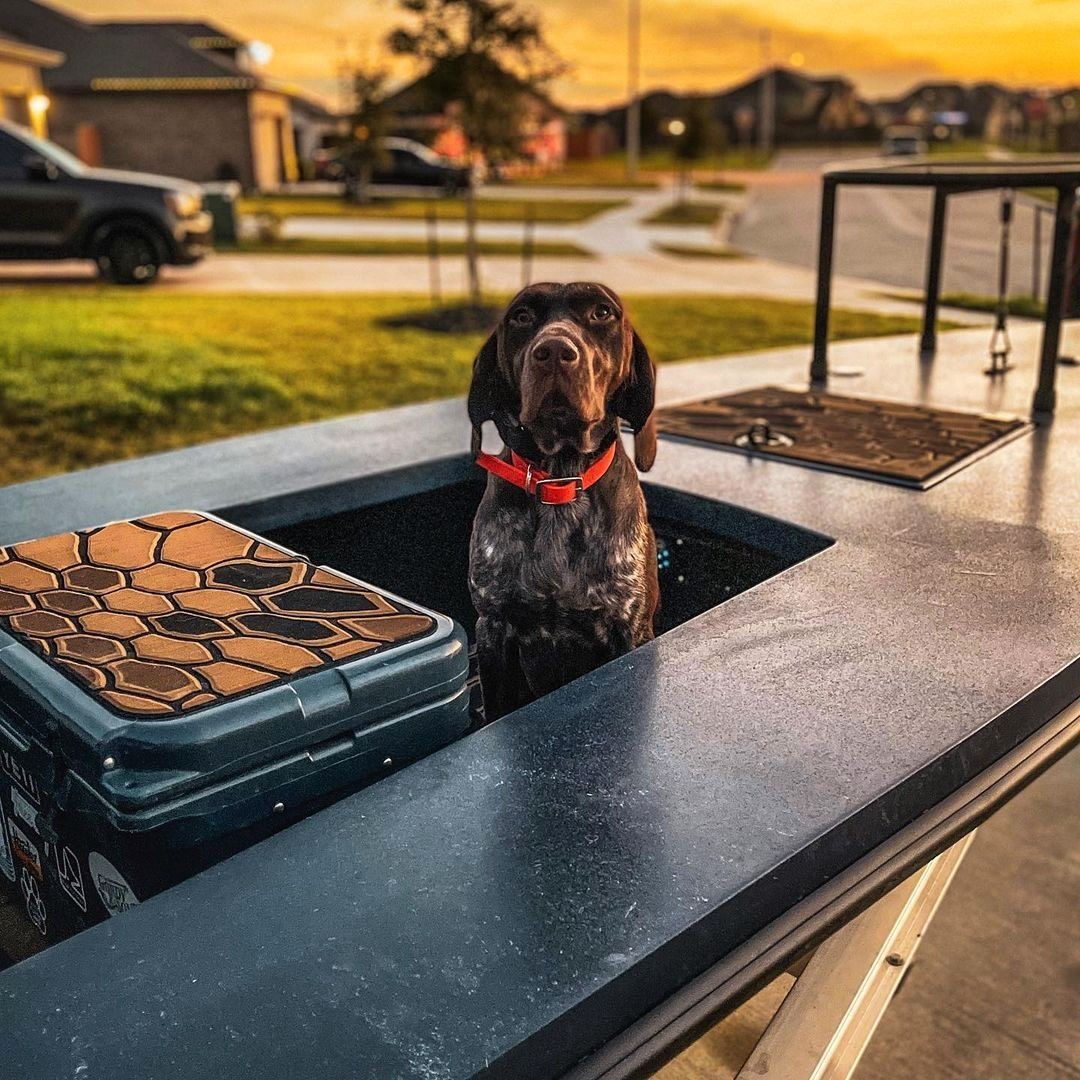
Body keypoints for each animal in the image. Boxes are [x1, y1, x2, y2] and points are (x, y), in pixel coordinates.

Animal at [466, 280, 656, 717]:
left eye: (602, 312)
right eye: (521, 316)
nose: (553, 350)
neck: (559, 478)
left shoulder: (630, 628)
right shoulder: (492, 628)